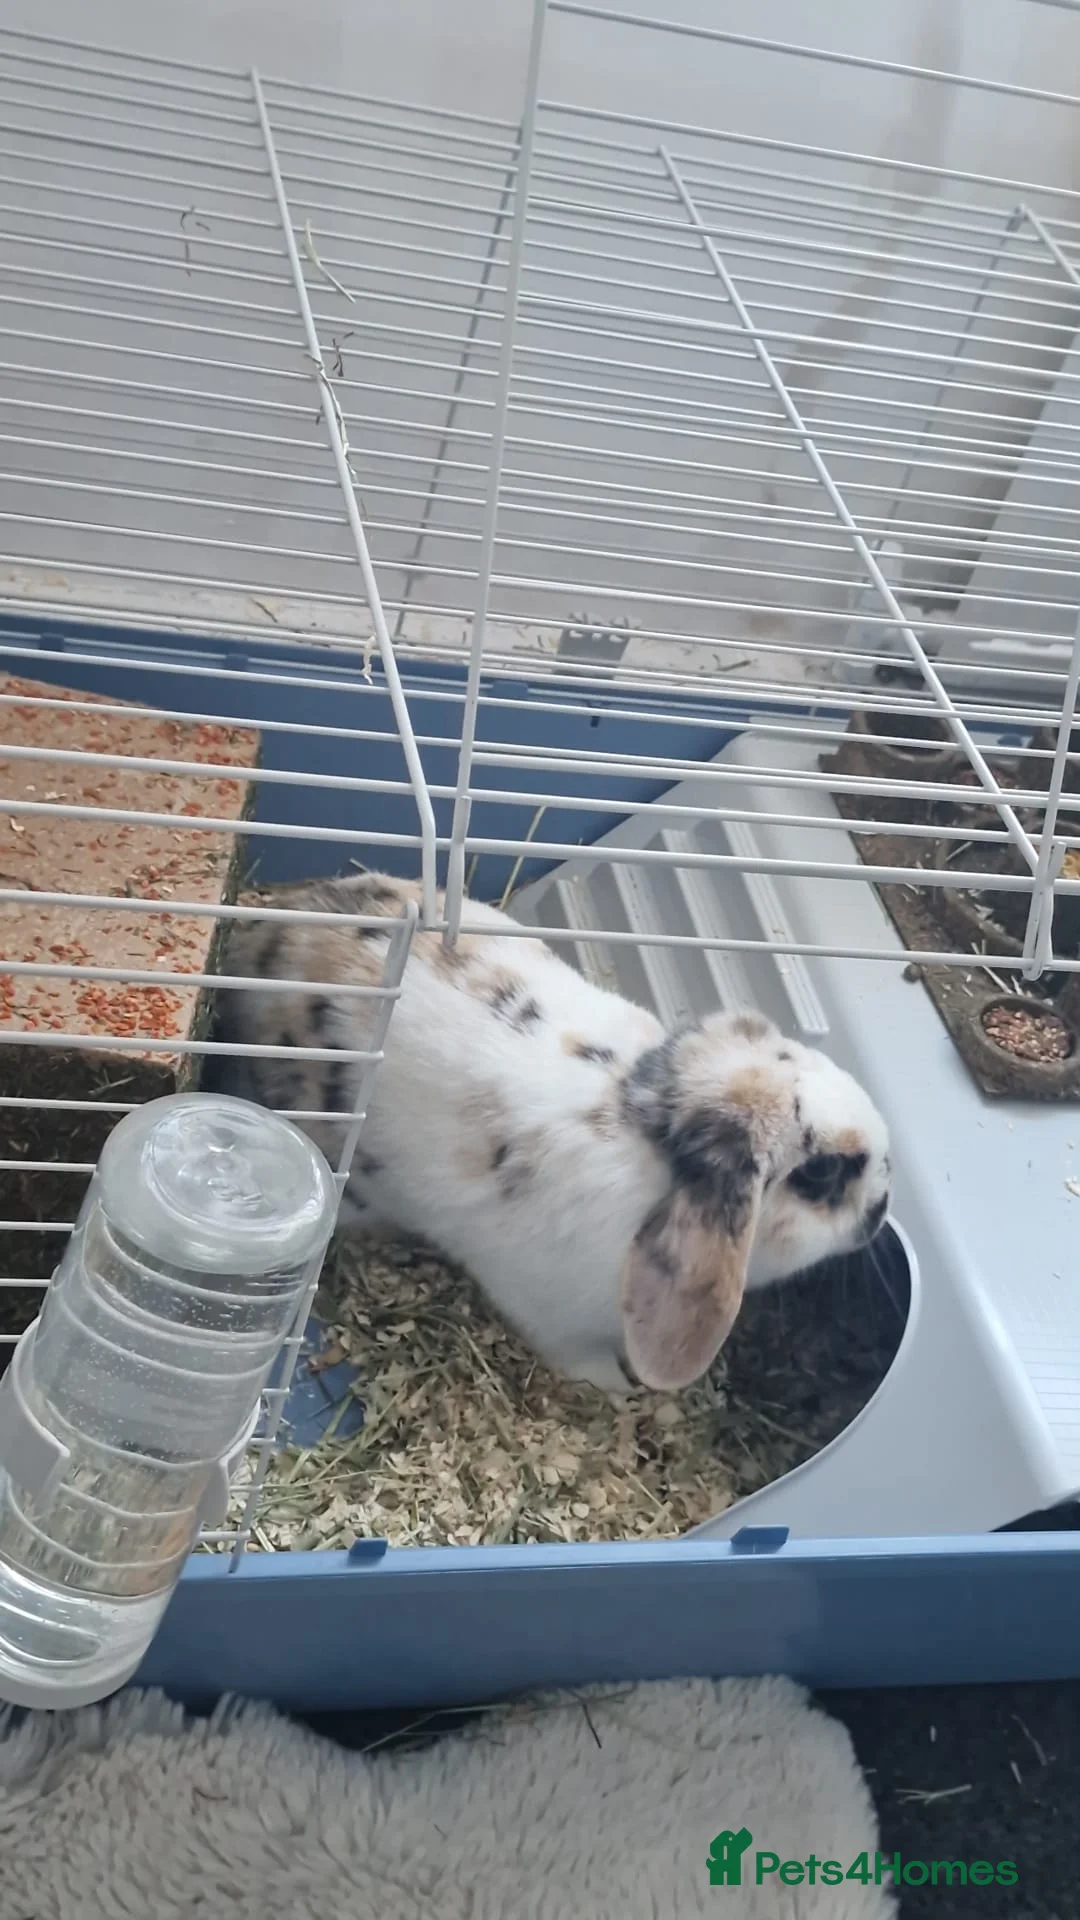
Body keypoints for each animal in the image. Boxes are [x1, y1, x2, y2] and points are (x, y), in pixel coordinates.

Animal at [204, 870, 892, 1396]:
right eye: (820, 1173)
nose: (884, 1208)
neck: (644, 1125)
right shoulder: (553, 1316)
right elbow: (578, 1356)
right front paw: (617, 1388)